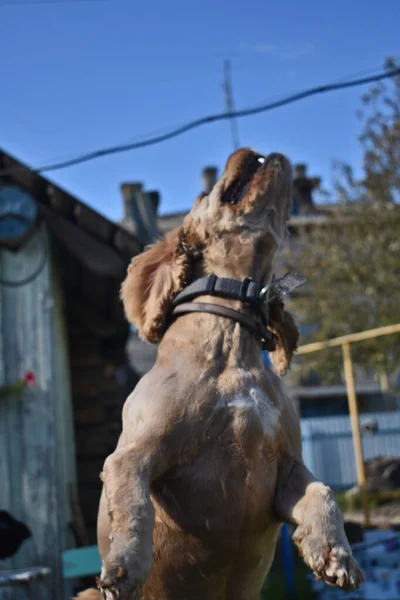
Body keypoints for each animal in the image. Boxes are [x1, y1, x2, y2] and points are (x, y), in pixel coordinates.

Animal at [76, 148, 366, 596]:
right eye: (203, 194)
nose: (255, 151)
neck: (233, 351)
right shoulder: (134, 454)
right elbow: (133, 503)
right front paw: (124, 564)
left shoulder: (286, 470)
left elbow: (324, 491)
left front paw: (335, 553)